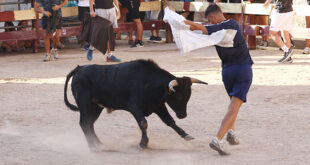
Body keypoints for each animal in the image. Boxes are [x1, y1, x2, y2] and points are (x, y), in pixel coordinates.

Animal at [64, 59, 207, 151]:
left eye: (189, 95)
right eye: (178, 96)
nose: (183, 115)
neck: (149, 82)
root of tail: (79, 69)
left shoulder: (158, 106)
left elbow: (170, 121)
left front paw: (186, 135)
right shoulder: (135, 107)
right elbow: (143, 123)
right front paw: (142, 144)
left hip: (95, 107)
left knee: (89, 124)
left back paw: (99, 144)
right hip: (85, 105)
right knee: (84, 123)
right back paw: (93, 146)